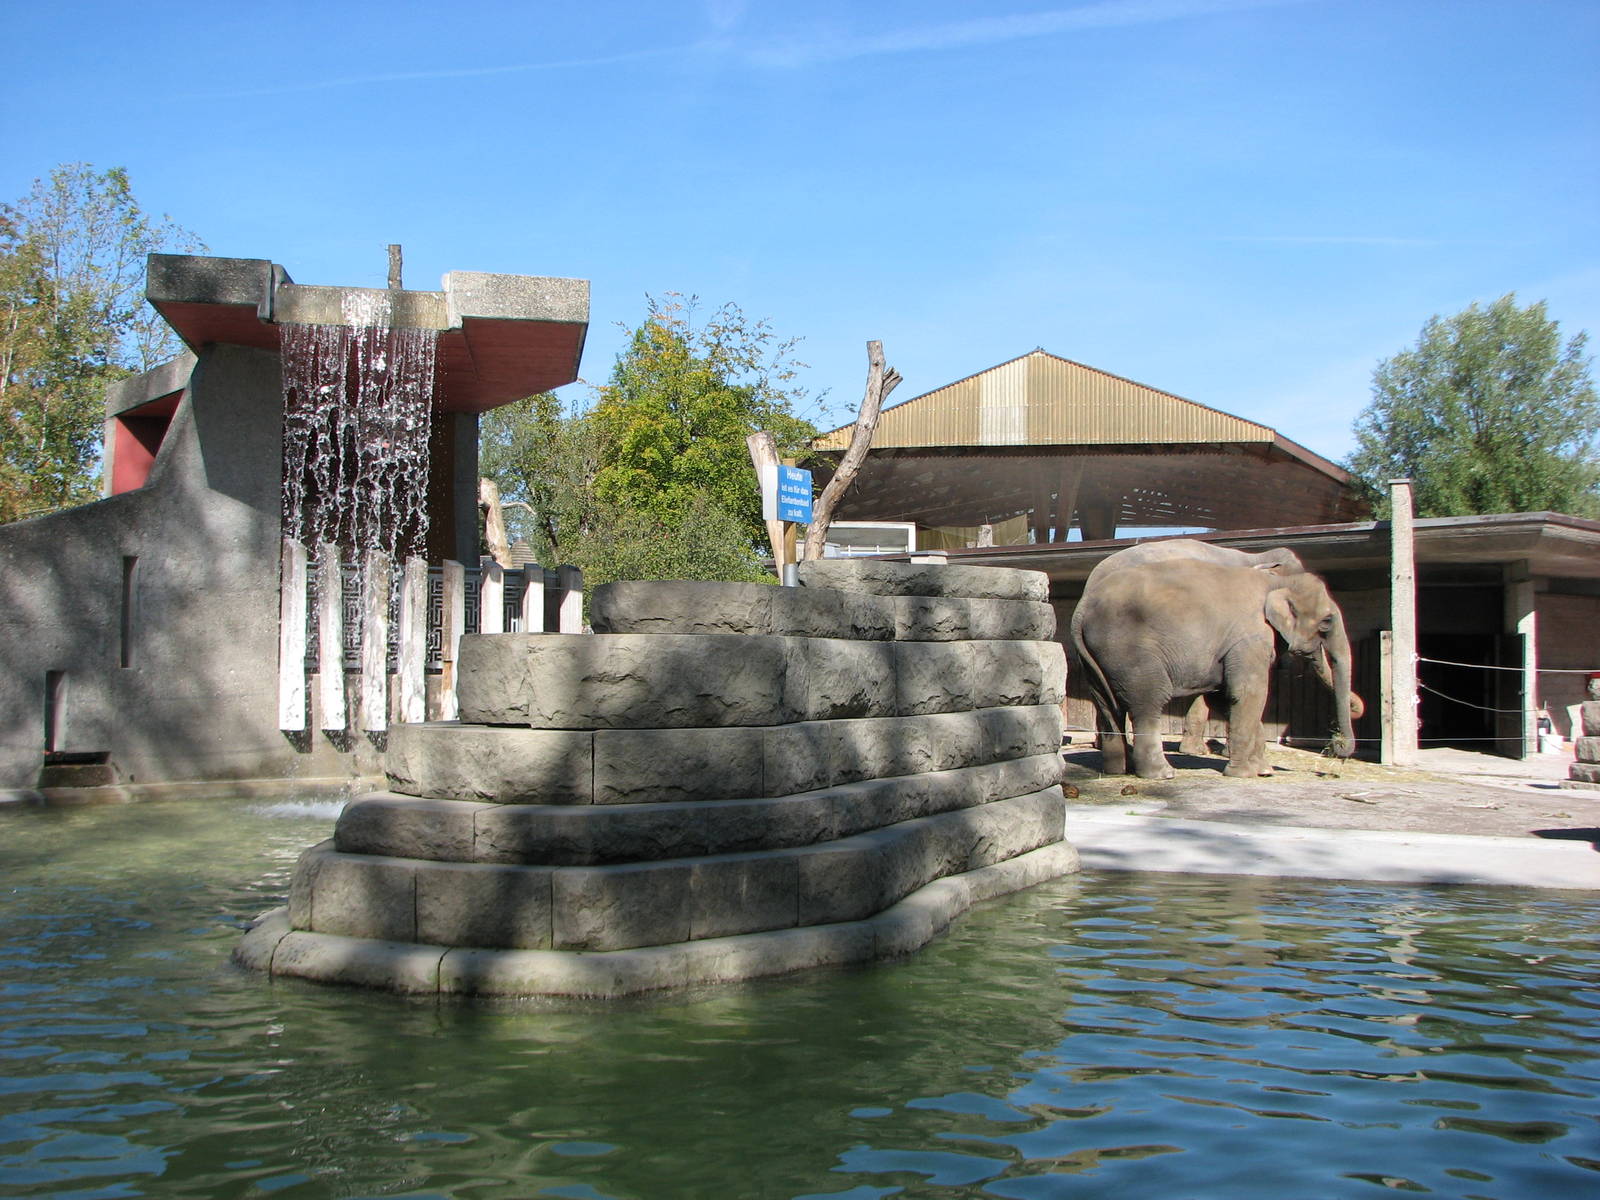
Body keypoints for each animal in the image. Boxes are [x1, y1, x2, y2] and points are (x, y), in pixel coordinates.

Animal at [1069, 555, 1358, 779]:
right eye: (1327, 621)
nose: (1336, 751)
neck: (1275, 581)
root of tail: (1082, 607)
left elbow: (1226, 697)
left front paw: (1263, 771)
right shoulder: (1249, 637)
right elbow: (1249, 693)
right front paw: (1245, 774)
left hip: (1098, 655)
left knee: (1108, 705)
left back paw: (1118, 770)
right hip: (1131, 652)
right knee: (1148, 702)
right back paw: (1163, 774)